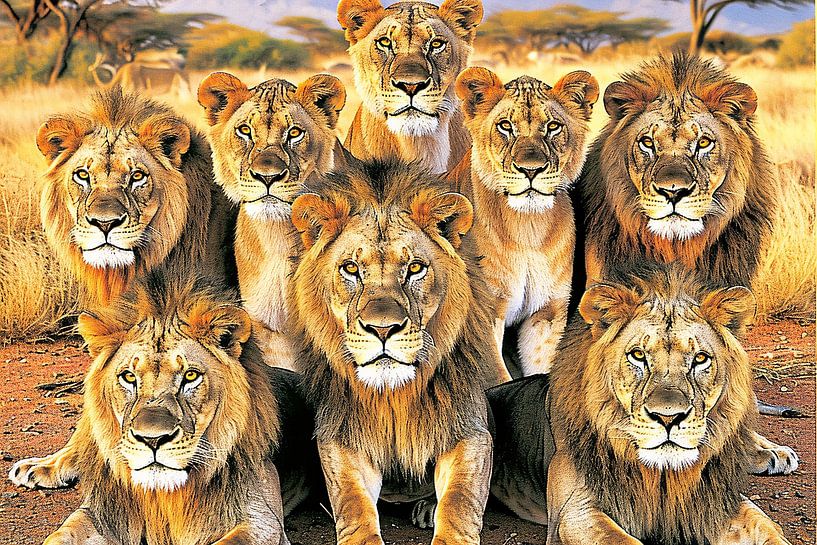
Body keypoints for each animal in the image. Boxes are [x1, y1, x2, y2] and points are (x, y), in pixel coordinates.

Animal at [34, 273, 318, 545]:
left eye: (190, 376)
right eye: (128, 377)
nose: (153, 439)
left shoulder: (262, 523)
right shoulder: (101, 512)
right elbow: (58, 536)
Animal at [288, 158, 502, 544]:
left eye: (415, 268)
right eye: (351, 268)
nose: (383, 329)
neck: (393, 396)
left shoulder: (470, 431)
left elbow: (460, 500)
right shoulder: (341, 437)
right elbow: (353, 503)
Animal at [452, 67, 598, 377]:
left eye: (553, 127)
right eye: (505, 126)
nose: (531, 170)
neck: (528, 231)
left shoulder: (547, 314)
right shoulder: (486, 312)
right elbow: (497, 374)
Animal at [488, 266, 792, 545]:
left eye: (700, 358)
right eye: (638, 356)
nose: (669, 418)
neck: (660, 475)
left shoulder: (716, 500)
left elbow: (766, 527)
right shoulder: (574, 513)